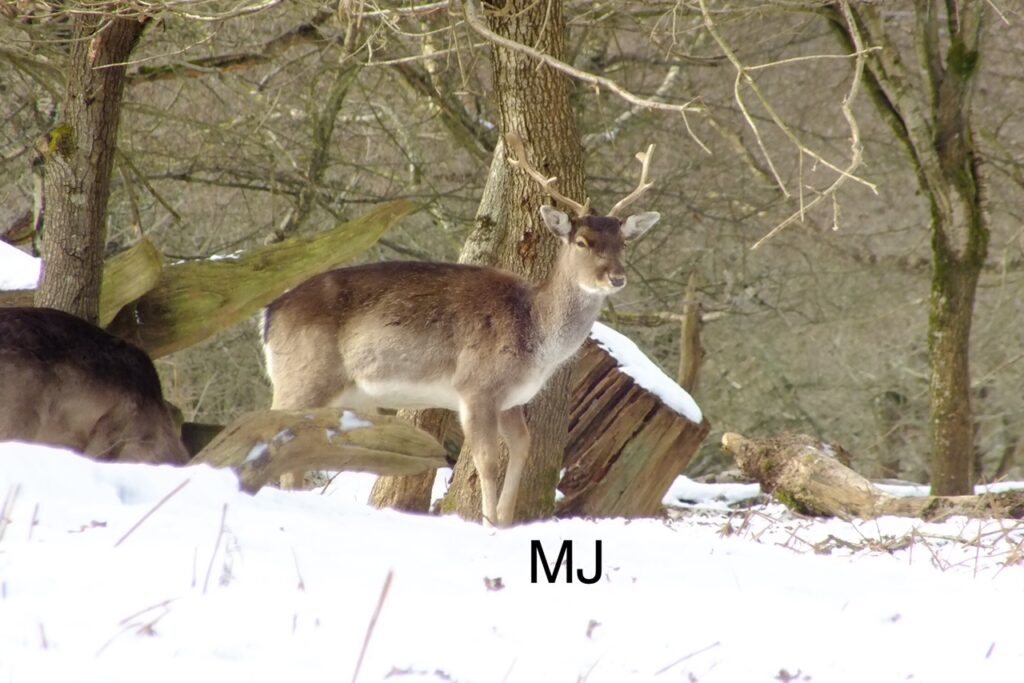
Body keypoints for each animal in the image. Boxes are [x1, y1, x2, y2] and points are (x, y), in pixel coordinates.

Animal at [261, 132, 659, 527]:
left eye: (624, 242)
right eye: (581, 242)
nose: (616, 277)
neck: (536, 339)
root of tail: (269, 314)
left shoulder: (512, 400)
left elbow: (522, 448)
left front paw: (504, 520)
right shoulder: (476, 386)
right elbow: (487, 460)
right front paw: (487, 522)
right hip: (302, 378)